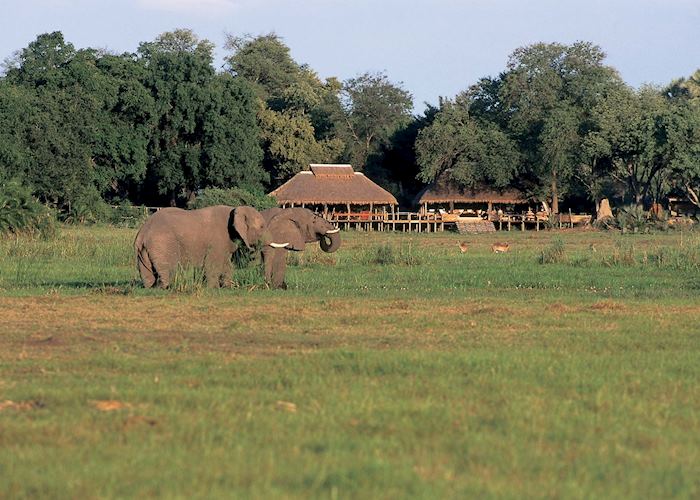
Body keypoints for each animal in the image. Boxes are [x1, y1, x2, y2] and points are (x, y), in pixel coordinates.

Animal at [134, 204, 288, 290]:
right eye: (262, 227)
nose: (267, 286)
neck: (235, 209)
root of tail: (143, 233)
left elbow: (226, 264)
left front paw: (227, 287)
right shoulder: (218, 240)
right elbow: (214, 264)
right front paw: (213, 288)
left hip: (143, 251)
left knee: (147, 273)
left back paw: (150, 288)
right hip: (162, 244)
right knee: (167, 270)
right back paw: (166, 288)